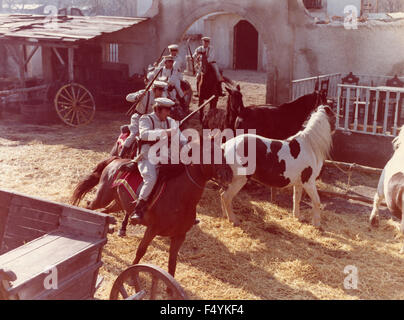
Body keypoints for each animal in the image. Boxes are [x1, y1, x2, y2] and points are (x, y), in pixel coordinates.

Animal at [71, 136, 232, 276]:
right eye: (210, 151)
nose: (229, 174)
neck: (180, 198)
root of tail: (116, 160)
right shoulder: (152, 229)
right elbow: (141, 250)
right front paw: (132, 273)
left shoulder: (180, 236)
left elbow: (172, 261)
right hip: (102, 197)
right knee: (89, 207)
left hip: (118, 203)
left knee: (104, 211)